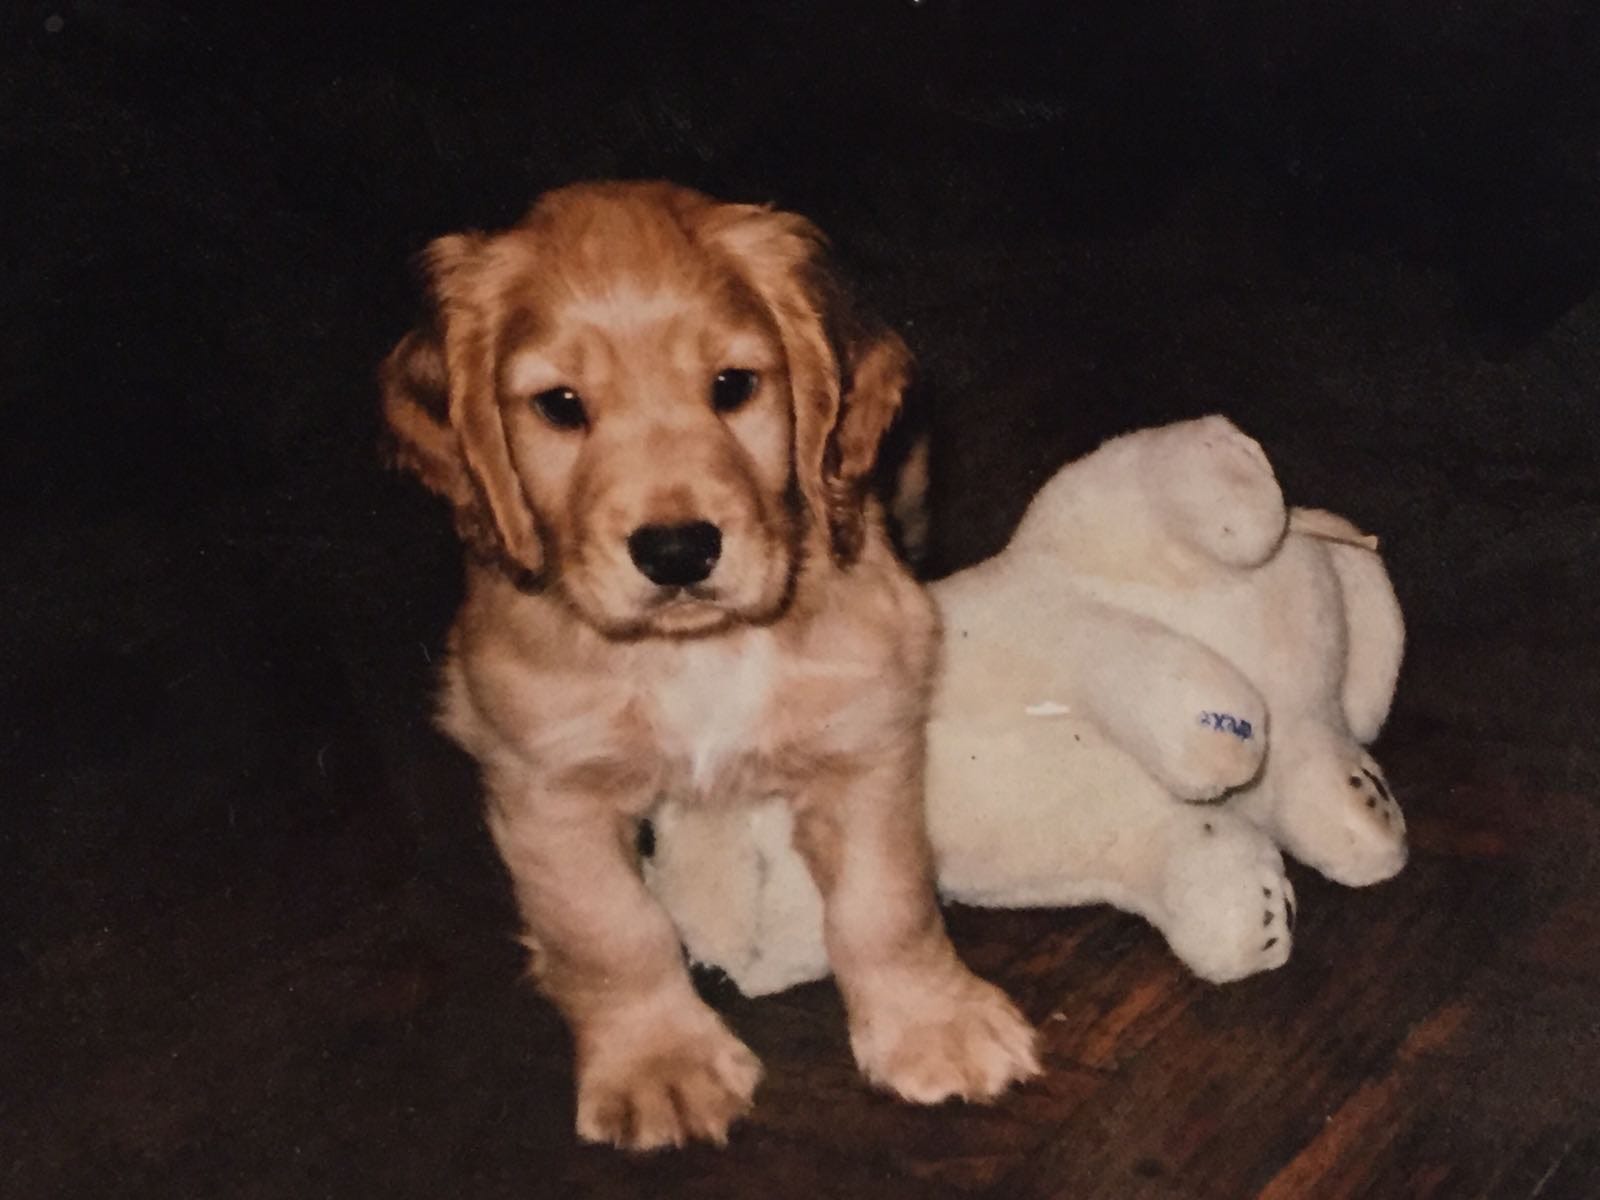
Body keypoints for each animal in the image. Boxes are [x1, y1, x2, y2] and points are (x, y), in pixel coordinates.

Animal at [380, 181, 1037, 1150]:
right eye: (560, 405)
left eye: (733, 386)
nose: (679, 550)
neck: (694, 650)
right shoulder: (548, 783)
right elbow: (608, 930)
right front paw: (660, 1064)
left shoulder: (865, 735)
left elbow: (887, 901)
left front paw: (934, 1025)